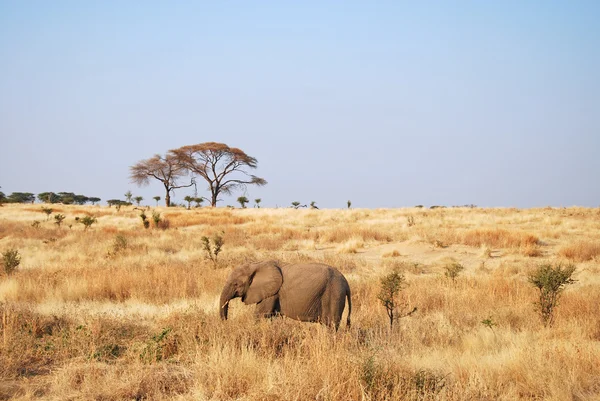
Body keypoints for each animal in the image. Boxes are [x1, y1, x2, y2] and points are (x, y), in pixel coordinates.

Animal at [219, 260, 352, 328]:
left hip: (334, 294)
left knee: (331, 324)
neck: (256, 264)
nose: (226, 323)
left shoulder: (272, 293)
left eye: (236, 284)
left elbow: (260, 314)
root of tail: (346, 283)